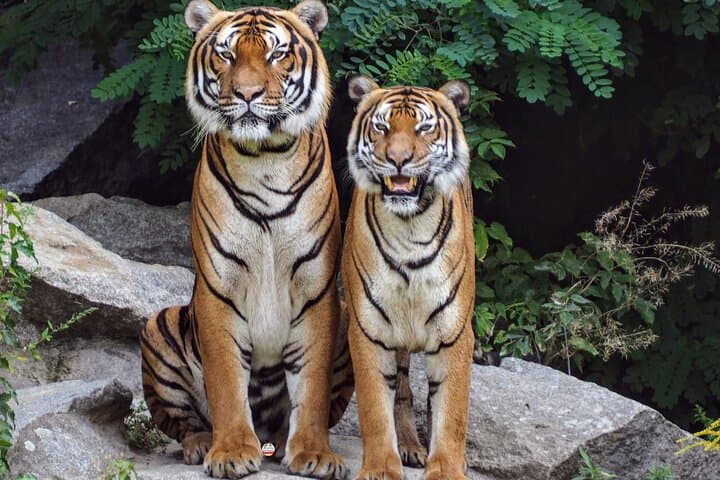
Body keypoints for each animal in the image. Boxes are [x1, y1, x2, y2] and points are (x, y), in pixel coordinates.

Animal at [139, 1, 353, 478]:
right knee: (182, 422)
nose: (248, 94)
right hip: (159, 324)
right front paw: (232, 451)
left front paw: (314, 453)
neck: (265, 158)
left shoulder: (316, 290)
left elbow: (311, 385)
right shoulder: (219, 288)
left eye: (276, 55)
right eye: (227, 55)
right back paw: (202, 443)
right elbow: (225, 381)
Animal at [341, 75, 475, 480]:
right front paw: (381, 469)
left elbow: (451, 413)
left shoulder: (455, 333)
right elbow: (374, 407)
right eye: (382, 127)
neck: (410, 228)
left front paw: (446, 469)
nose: (398, 159)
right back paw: (410, 448)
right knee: (401, 390)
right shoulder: (368, 329)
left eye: (424, 128)